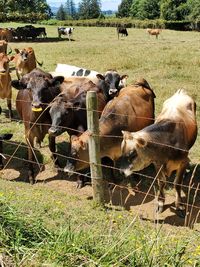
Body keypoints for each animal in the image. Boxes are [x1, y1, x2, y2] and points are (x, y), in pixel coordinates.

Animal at [119, 89, 198, 218]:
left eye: (132, 154)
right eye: (121, 152)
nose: (121, 171)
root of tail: (180, 92)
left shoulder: (183, 162)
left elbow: (177, 183)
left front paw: (180, 206)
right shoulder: (157, 163)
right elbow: (161, 182)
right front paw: (160, 203)